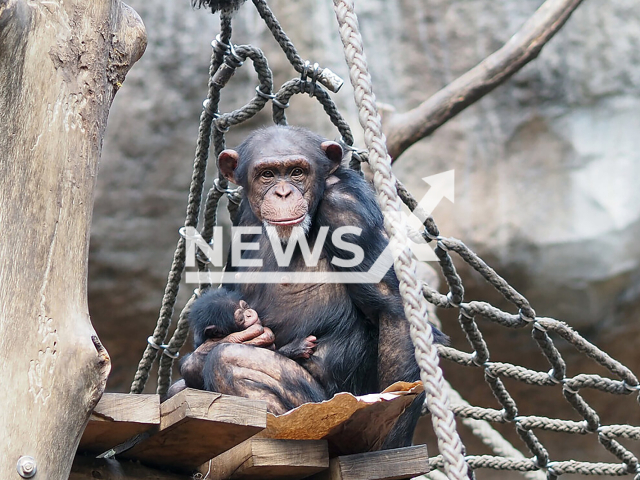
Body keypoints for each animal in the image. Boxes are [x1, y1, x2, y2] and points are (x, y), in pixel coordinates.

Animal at [178, 125, 442, 448]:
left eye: (296, 172)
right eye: (267, 174)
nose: (282, 192)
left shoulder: (345, 206)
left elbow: (391, 308)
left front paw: (390, 441)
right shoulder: (243, 217)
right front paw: (203, 351)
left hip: (328, 408)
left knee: (230, 361)